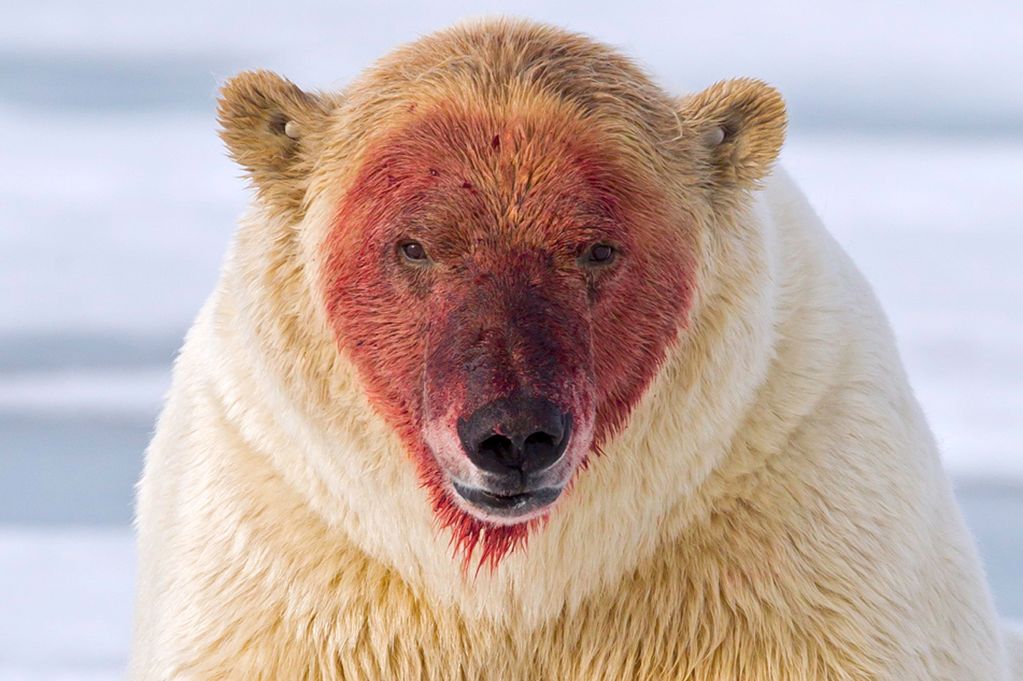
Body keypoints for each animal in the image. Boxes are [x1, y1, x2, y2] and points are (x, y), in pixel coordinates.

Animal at [129, 18, 1021, 680]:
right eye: (412, 244)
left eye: (597, 247)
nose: (512, 433)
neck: (519, 586)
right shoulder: (285, 583)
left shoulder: (799, 562)